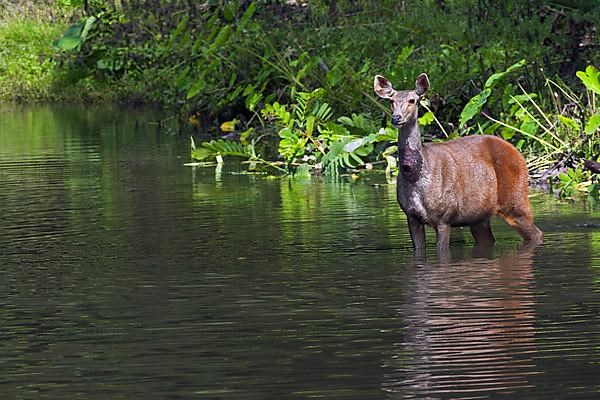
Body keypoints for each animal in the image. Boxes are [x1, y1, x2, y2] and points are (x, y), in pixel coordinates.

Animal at [372, 73, 540, 252]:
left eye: (413, 100)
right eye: (391, 101)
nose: (396, 118)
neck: (414, 175)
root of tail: (518, 153)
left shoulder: (444, 217)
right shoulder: (411, 217)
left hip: (515, 201)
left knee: (536, 233)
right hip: (479, 216)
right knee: (489, 239)